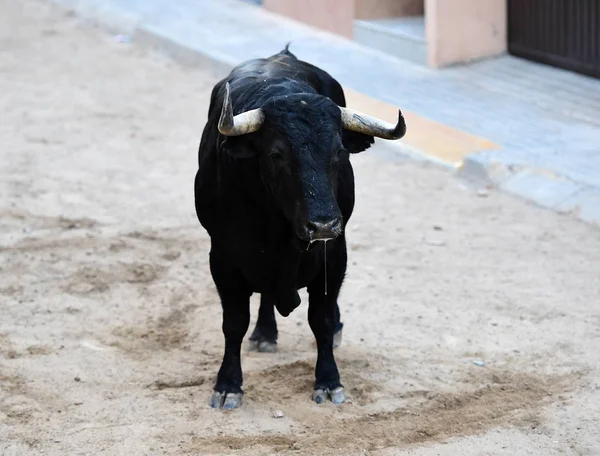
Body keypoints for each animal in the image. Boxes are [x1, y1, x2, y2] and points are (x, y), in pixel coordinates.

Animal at [195, 45, 406, 410]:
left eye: (339, 151)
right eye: (276, 154)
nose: (323, 223)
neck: (279, 229)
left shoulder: (334, 253)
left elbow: (321, 319)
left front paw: (329, 380)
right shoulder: (222, 258)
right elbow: (234, 323)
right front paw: (228, 385)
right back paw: (265, 333)